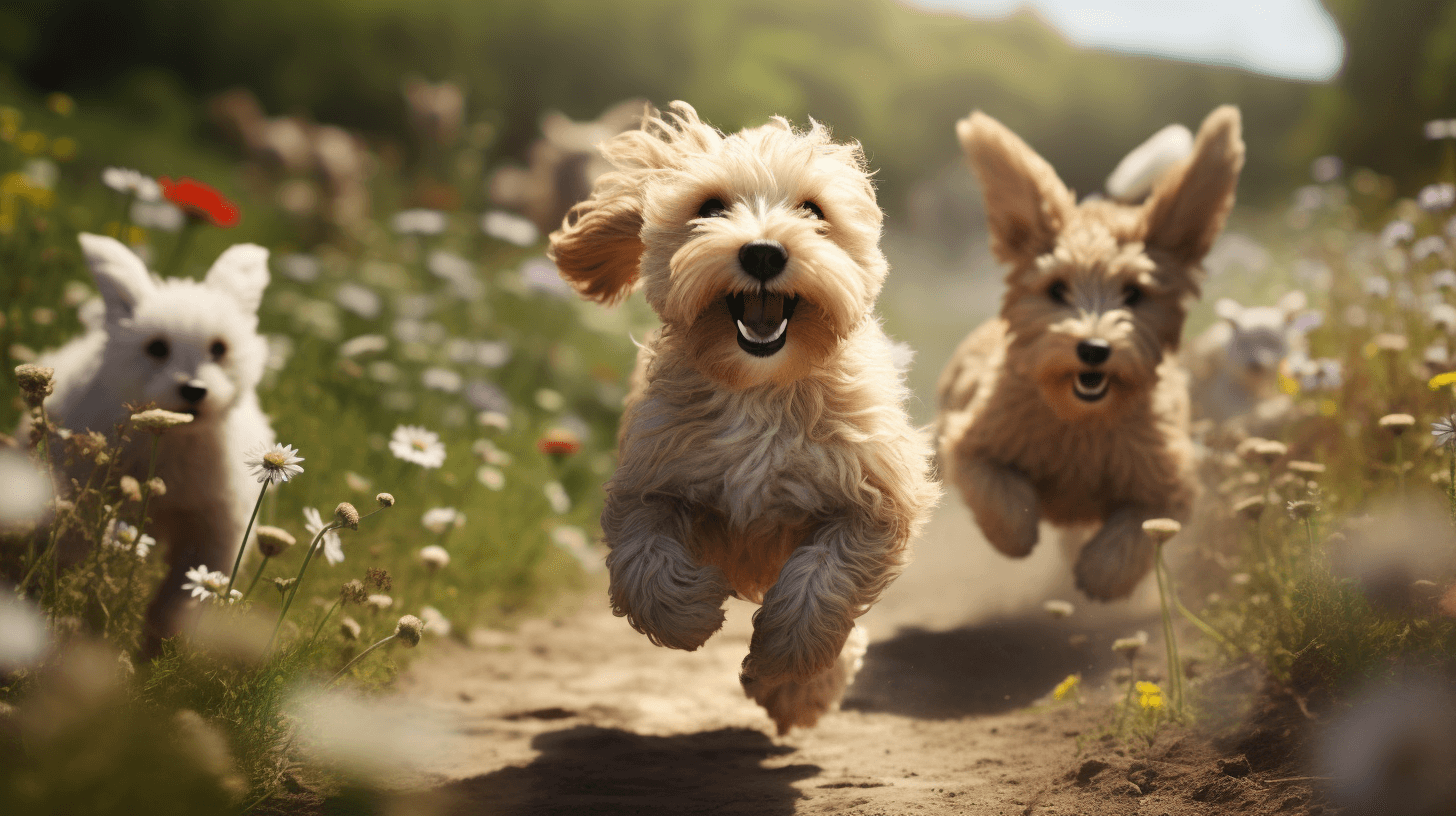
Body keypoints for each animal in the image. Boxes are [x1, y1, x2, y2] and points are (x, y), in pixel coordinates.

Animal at [39, 234, 275, 649]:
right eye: (157, 348)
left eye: (219, 348)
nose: (194, 389)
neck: (172, 441)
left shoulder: (212, 535)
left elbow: (180, 604)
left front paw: (161, 652)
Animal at [937, 104, 1246, 600]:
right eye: (1056, 288)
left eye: (1134, 293)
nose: (1095, 348)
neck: (1079, 424)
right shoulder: (971, 439)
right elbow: (997, 491)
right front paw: (1016, 535)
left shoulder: (1170, 481)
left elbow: (1138, 530)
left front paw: (1101, 575)